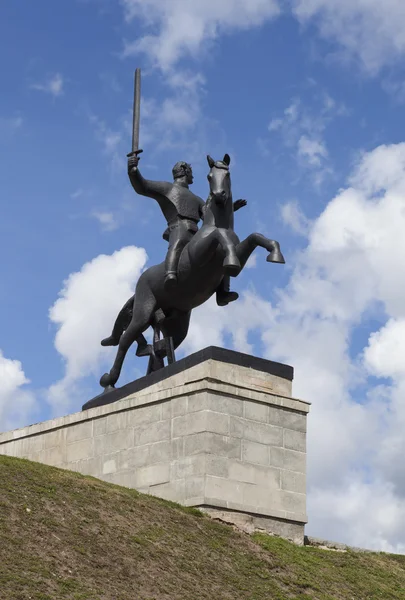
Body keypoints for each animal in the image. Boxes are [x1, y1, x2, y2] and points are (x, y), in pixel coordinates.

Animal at [100, 155, 284, 390]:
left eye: (227, 174)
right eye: (209, 176)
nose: (219, 195)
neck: (217, 224)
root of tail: (140, 282)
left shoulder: (240, 252)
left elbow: (254, 237)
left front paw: (274, 253)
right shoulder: (201, 255)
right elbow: (220, 238)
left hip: (176, 323)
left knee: (160, 346)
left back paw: (154, 368)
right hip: (144, 310)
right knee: (126, 339)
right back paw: (110, 381)